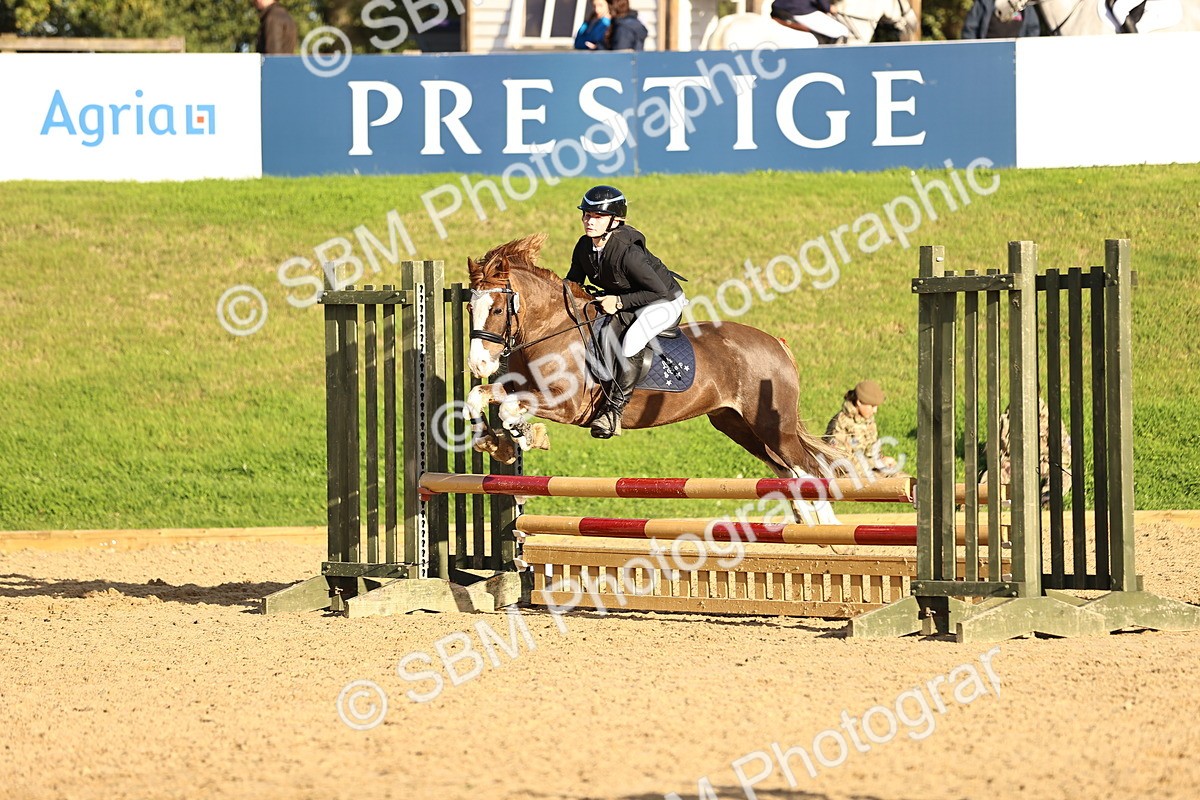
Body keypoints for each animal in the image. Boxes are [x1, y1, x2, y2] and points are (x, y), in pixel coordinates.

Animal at [464, 233, 843, 524]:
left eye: (497, 309)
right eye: (470, 308)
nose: (479, 363)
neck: (554, 330)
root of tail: (776, 344)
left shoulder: (567, 403)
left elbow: (509, 408)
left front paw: (528, 435)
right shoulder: (522, 387)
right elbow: (480, 396)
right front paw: (496, 443)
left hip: (771, 425)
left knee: (809, 469)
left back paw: (827, 535)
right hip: (737, 424)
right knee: (787, 472)